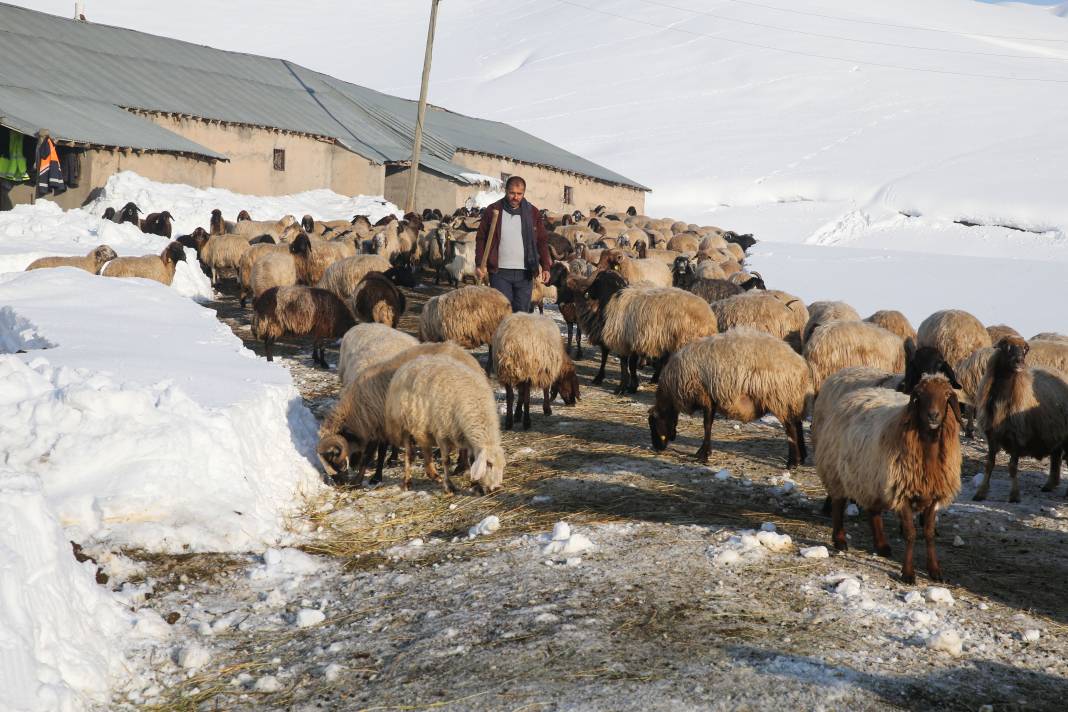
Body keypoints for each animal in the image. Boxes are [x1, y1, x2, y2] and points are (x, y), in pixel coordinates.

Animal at [313, 341, 478, 486]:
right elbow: (373, 453)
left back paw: (461, 467)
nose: (339, 484)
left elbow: (374, 454)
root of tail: (467, 358)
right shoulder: (377, 427)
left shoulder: (381, 425)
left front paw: (372, 478)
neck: (356, 410)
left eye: (333, 459)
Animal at [384, 356, 504, 495]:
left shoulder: (464, 436)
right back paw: (407, 482)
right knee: (409, 454)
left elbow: (471, 459)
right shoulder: (442, 434)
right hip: (403, 425)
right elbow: (446, 461)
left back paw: (433, 474)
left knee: (425, 448)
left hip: (423, 427)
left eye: (503, 465)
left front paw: (475, 485)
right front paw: (449, 486)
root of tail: (410, 362)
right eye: (489, 464)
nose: (497, 489)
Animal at [645, 326, 811, 467]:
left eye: (654, 424)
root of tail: (801, 366)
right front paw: (704, 452)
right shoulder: (712, 398)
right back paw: (802, 457)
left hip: (778, 397)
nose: (657, 448)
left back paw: (792, 462)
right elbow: (709, 424)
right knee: (798, 424)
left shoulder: (705, 395)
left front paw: (703, 455)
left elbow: (707, 425)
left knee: (791, 428)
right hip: (792, 399)